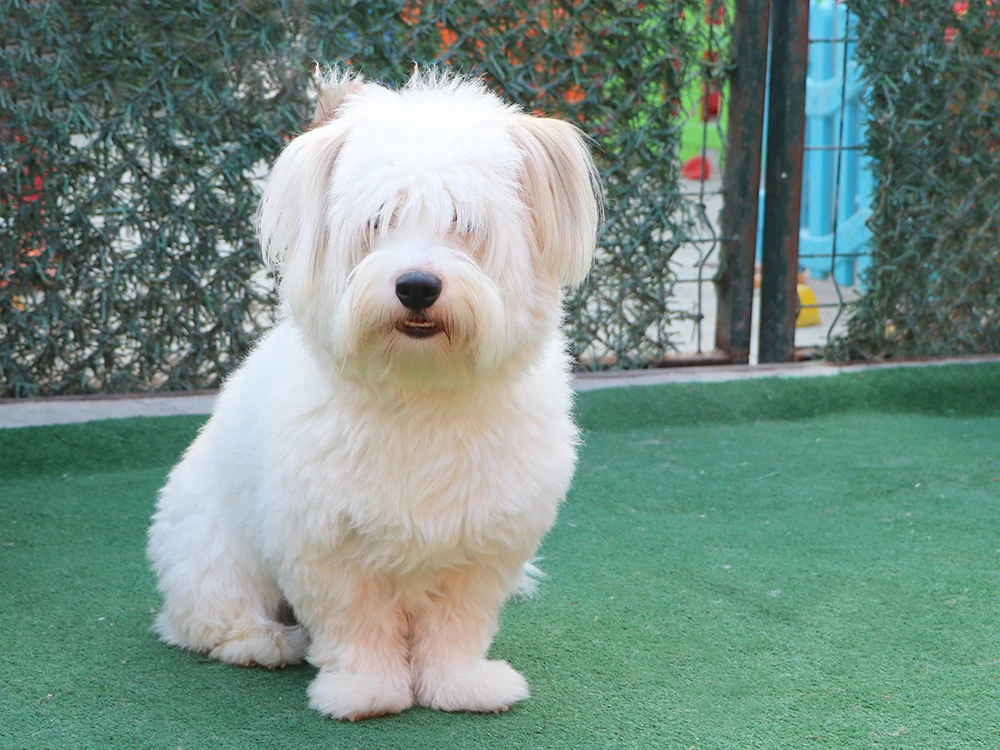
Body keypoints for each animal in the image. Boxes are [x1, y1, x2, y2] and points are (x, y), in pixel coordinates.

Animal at [146, 70, 600, 724]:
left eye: (465, 222)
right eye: (379, 219)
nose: (417, 286)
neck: (419, 389)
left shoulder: (481, 548)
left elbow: (456, 627)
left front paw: (462, 686)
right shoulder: (328, 548)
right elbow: (356, 627)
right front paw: (363, 692)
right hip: (214, 551)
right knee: (202, 620)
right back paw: (262, 642)